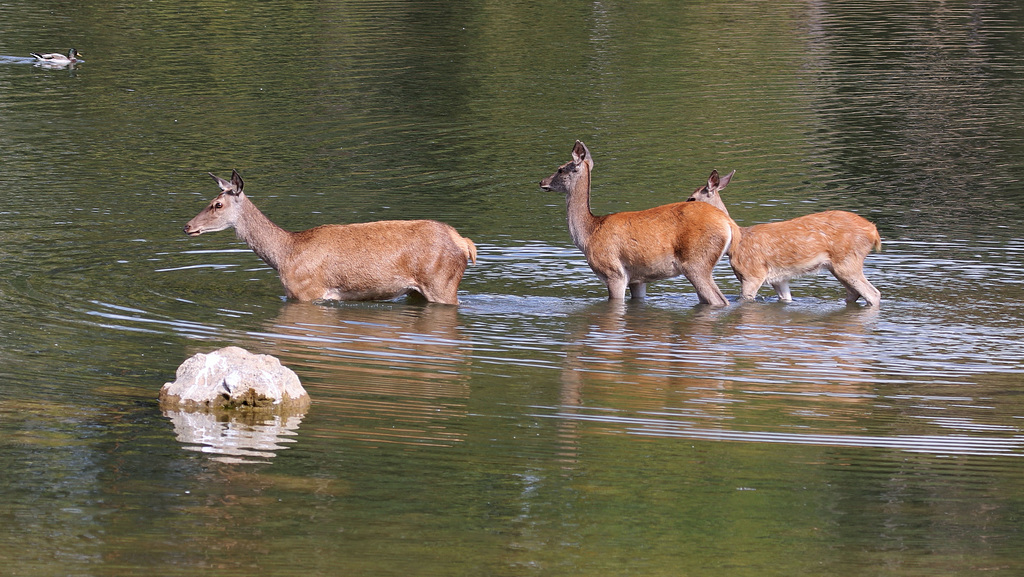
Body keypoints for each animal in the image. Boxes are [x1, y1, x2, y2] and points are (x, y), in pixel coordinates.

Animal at [183, 170, 475, 305]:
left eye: (217, 204)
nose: (187, 226)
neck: (284, 255)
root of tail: (465, 244)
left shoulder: (306, 293)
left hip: (441, 284)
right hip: (418, 291)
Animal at [540, 140, 741, 307]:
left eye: (560, 169)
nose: (542, 181)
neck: (589, 234)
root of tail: (729, 224)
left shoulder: (613, 272)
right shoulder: (638, 279)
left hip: (696, 263)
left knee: (719, 300)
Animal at [684, 169, 884, 307]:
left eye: (691, 198)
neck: (737, 241)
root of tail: (874, 231)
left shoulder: (752, 273)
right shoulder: (779, 279)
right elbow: (786, 300)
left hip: (848, 261)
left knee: (873, 294)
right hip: (837, 266)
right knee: (854, 293)